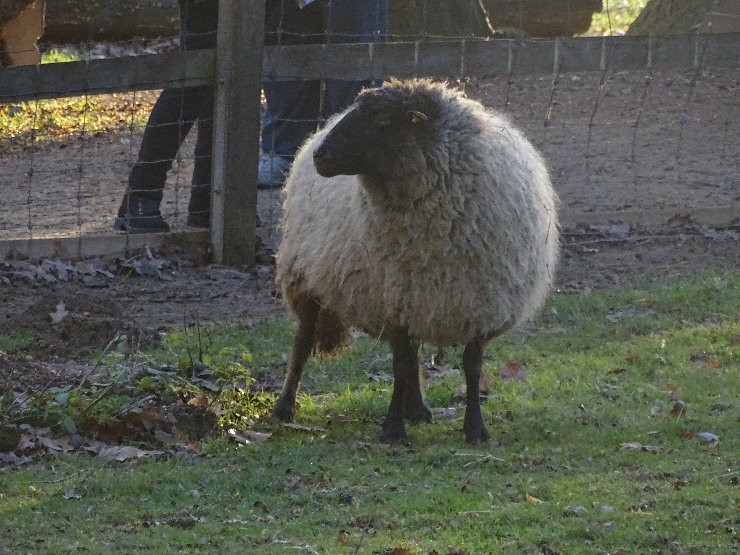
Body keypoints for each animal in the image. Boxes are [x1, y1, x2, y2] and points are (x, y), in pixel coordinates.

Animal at [274, 78, 556, 446]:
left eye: (381, 119)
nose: (321, 155)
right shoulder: (392, 301)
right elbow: (399, 364)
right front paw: (393, 429)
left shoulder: (479, 304)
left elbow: (470, 366)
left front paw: (475, 427)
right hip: (305, 275)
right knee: (303, 341)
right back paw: (284, 406)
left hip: (420, 294)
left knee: (415, 354)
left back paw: (418, 409)